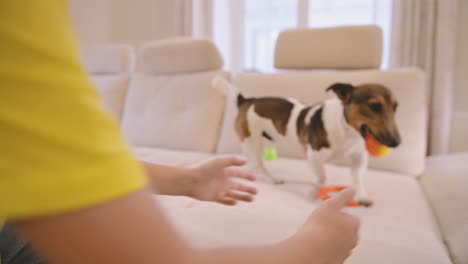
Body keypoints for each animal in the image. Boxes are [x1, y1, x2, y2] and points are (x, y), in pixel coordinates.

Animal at [214, 77, 400, 205]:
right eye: (374, 106)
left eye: (396, 107)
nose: (397, 142)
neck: (347, 131)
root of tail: (247, 100)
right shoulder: (313, 157)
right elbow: (322, 176)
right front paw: (317, 190)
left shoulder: (359, 158)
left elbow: (358, 178)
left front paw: (362, 196)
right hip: (252, 141)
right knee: (257, 163)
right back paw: (269, 178)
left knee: (255, 162)